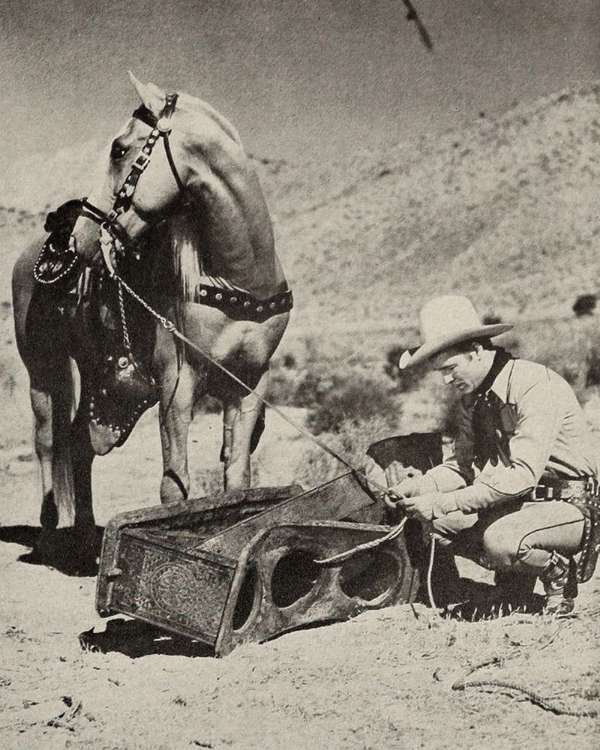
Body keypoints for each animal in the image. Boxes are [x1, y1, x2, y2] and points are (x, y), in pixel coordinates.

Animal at [12, 75, 292, 568]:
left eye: (119, 149)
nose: (82, 237)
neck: (234, 278)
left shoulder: (248, 387)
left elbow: (237, 478)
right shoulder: (177, 386)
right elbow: (173, 487)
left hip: (95, 367)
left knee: (79, 443)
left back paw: (85, 542)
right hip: (43, 368)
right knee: (48, 442)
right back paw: (48, 540)